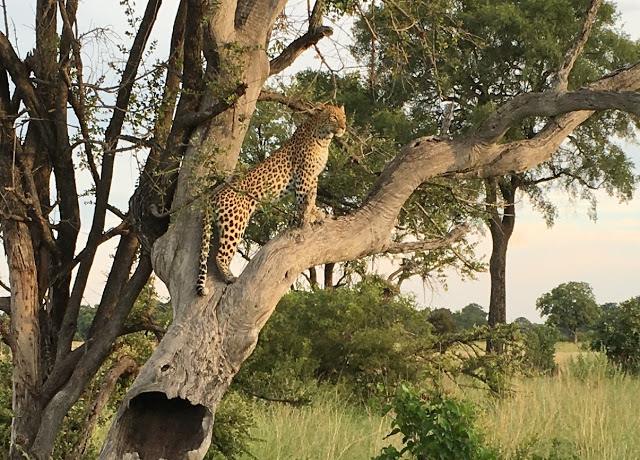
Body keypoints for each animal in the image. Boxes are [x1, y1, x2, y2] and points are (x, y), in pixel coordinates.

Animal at [196, 104, 347, 295]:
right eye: (333, 117)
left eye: (344, 117)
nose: (343, 127)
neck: (324, 138)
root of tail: (214, 195)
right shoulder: (304, 176)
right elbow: (304, 200)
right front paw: (313, 216)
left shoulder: (313, 177)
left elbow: (311, 198)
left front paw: (316, 214)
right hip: (235, 223)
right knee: (220, 254)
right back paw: (230, 278)